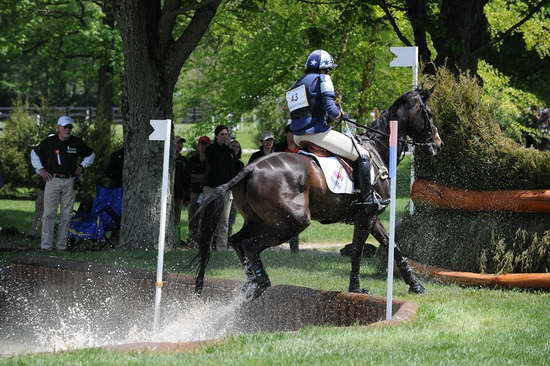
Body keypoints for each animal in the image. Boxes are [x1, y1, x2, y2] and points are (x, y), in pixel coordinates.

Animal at [193, 88, 444, 300]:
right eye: (429, 114)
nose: (438, 144)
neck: (377, 150)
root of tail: (250, 168)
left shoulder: (371, 217)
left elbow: (392, 247)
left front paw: (415, 285)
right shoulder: (367, 215)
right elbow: (358, 251)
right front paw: (356, 288)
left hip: (260, 221)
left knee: (237, 241)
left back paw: (251, 283)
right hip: (291, 222)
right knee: (250, 246)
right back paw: (260, 283)